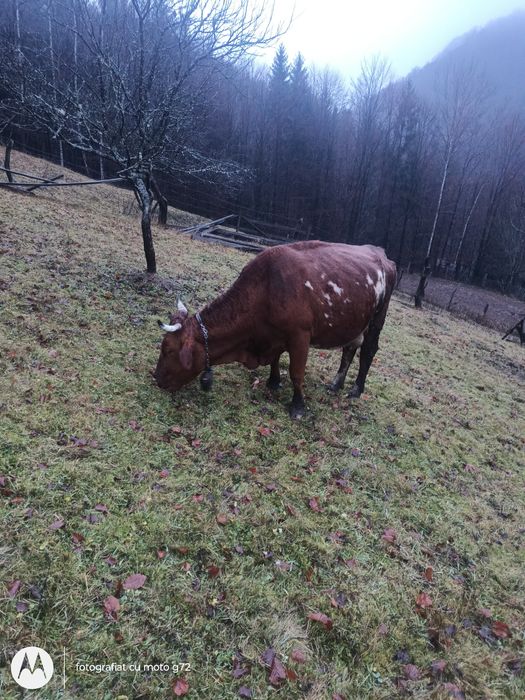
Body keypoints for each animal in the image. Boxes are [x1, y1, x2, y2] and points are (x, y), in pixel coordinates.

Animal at [154, 241, 396, 418]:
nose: (157, 379)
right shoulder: (274, 336)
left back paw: (356, 389)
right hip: (355, 321)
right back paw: (336, 384)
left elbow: (296, 373)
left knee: (368, 351)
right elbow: (275, 360)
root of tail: (379, 252)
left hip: (378, 318)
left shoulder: (300, 335)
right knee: (349, 349)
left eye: (167, 350)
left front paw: (298, 406)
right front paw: (273, 381)